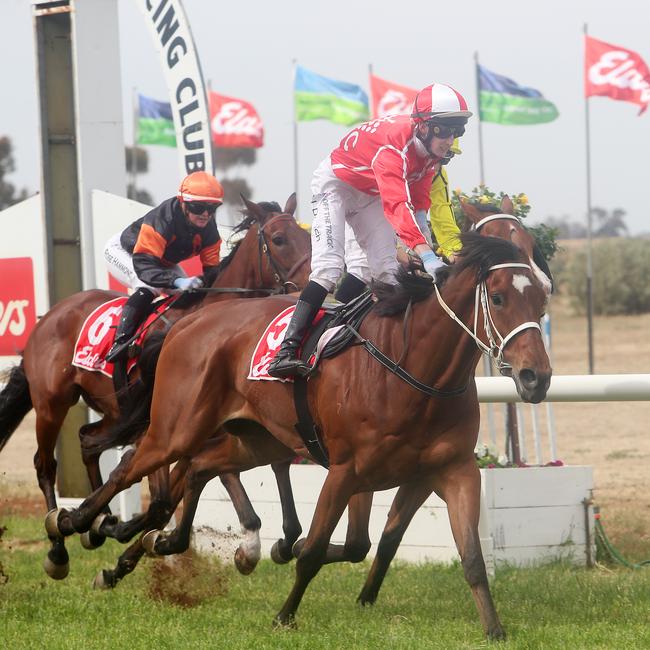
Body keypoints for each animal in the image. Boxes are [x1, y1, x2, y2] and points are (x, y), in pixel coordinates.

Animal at [0, 192, 310, 576]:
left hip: (112, 410)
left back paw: (99, 523)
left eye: (308, 237)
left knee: (88, 441)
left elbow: (183, 490)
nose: (314, 284)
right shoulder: (171, 427)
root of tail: (50, 315)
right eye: (279, 240)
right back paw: (60, 546)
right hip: (52, 402)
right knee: (46, 464)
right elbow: (168, 493)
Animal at [55, 225, 548, 636]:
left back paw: (146, 542)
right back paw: (75, 525)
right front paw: (284, 614)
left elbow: (467, 557)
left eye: (542, 299)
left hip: (253, 439)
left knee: (197, 467)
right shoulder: (347, 471)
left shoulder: (451, 471)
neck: (413, 371)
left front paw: (494, 629)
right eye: (498, 299)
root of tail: (189, 323)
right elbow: (313, 550)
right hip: (176, 428)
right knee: (130, 465)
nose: (536, 378)